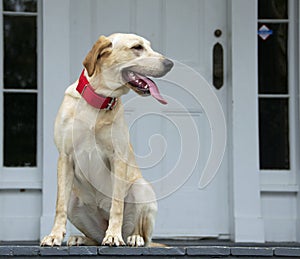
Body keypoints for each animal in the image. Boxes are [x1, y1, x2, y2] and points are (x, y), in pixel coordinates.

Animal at [41, 34, 175, 248]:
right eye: (137, 47)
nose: (170, 63)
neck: (99, 102)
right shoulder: (65, 157)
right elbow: (59, 205)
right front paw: (54, 235)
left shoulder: (118, 157)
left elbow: (117, 205)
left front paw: (113, 235)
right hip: (74, 201)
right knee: (95, 237)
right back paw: (80, 238)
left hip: (142, 188)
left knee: (143, 236)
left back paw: (132, 237)